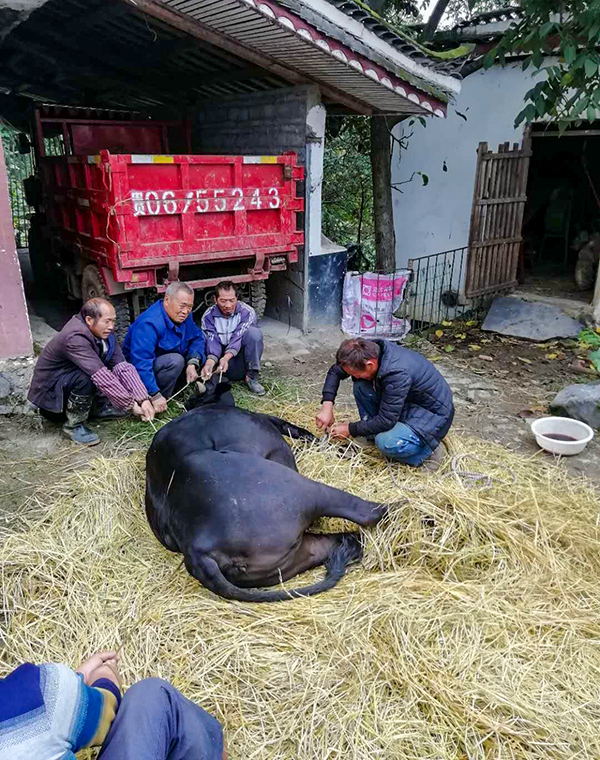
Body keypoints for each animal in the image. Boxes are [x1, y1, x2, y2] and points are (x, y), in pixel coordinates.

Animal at [144, 388, 390, 604]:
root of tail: (197, 548)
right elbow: (306, 435)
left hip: (290, 557)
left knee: (341, 540)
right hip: (301, 491)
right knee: (367, 513)